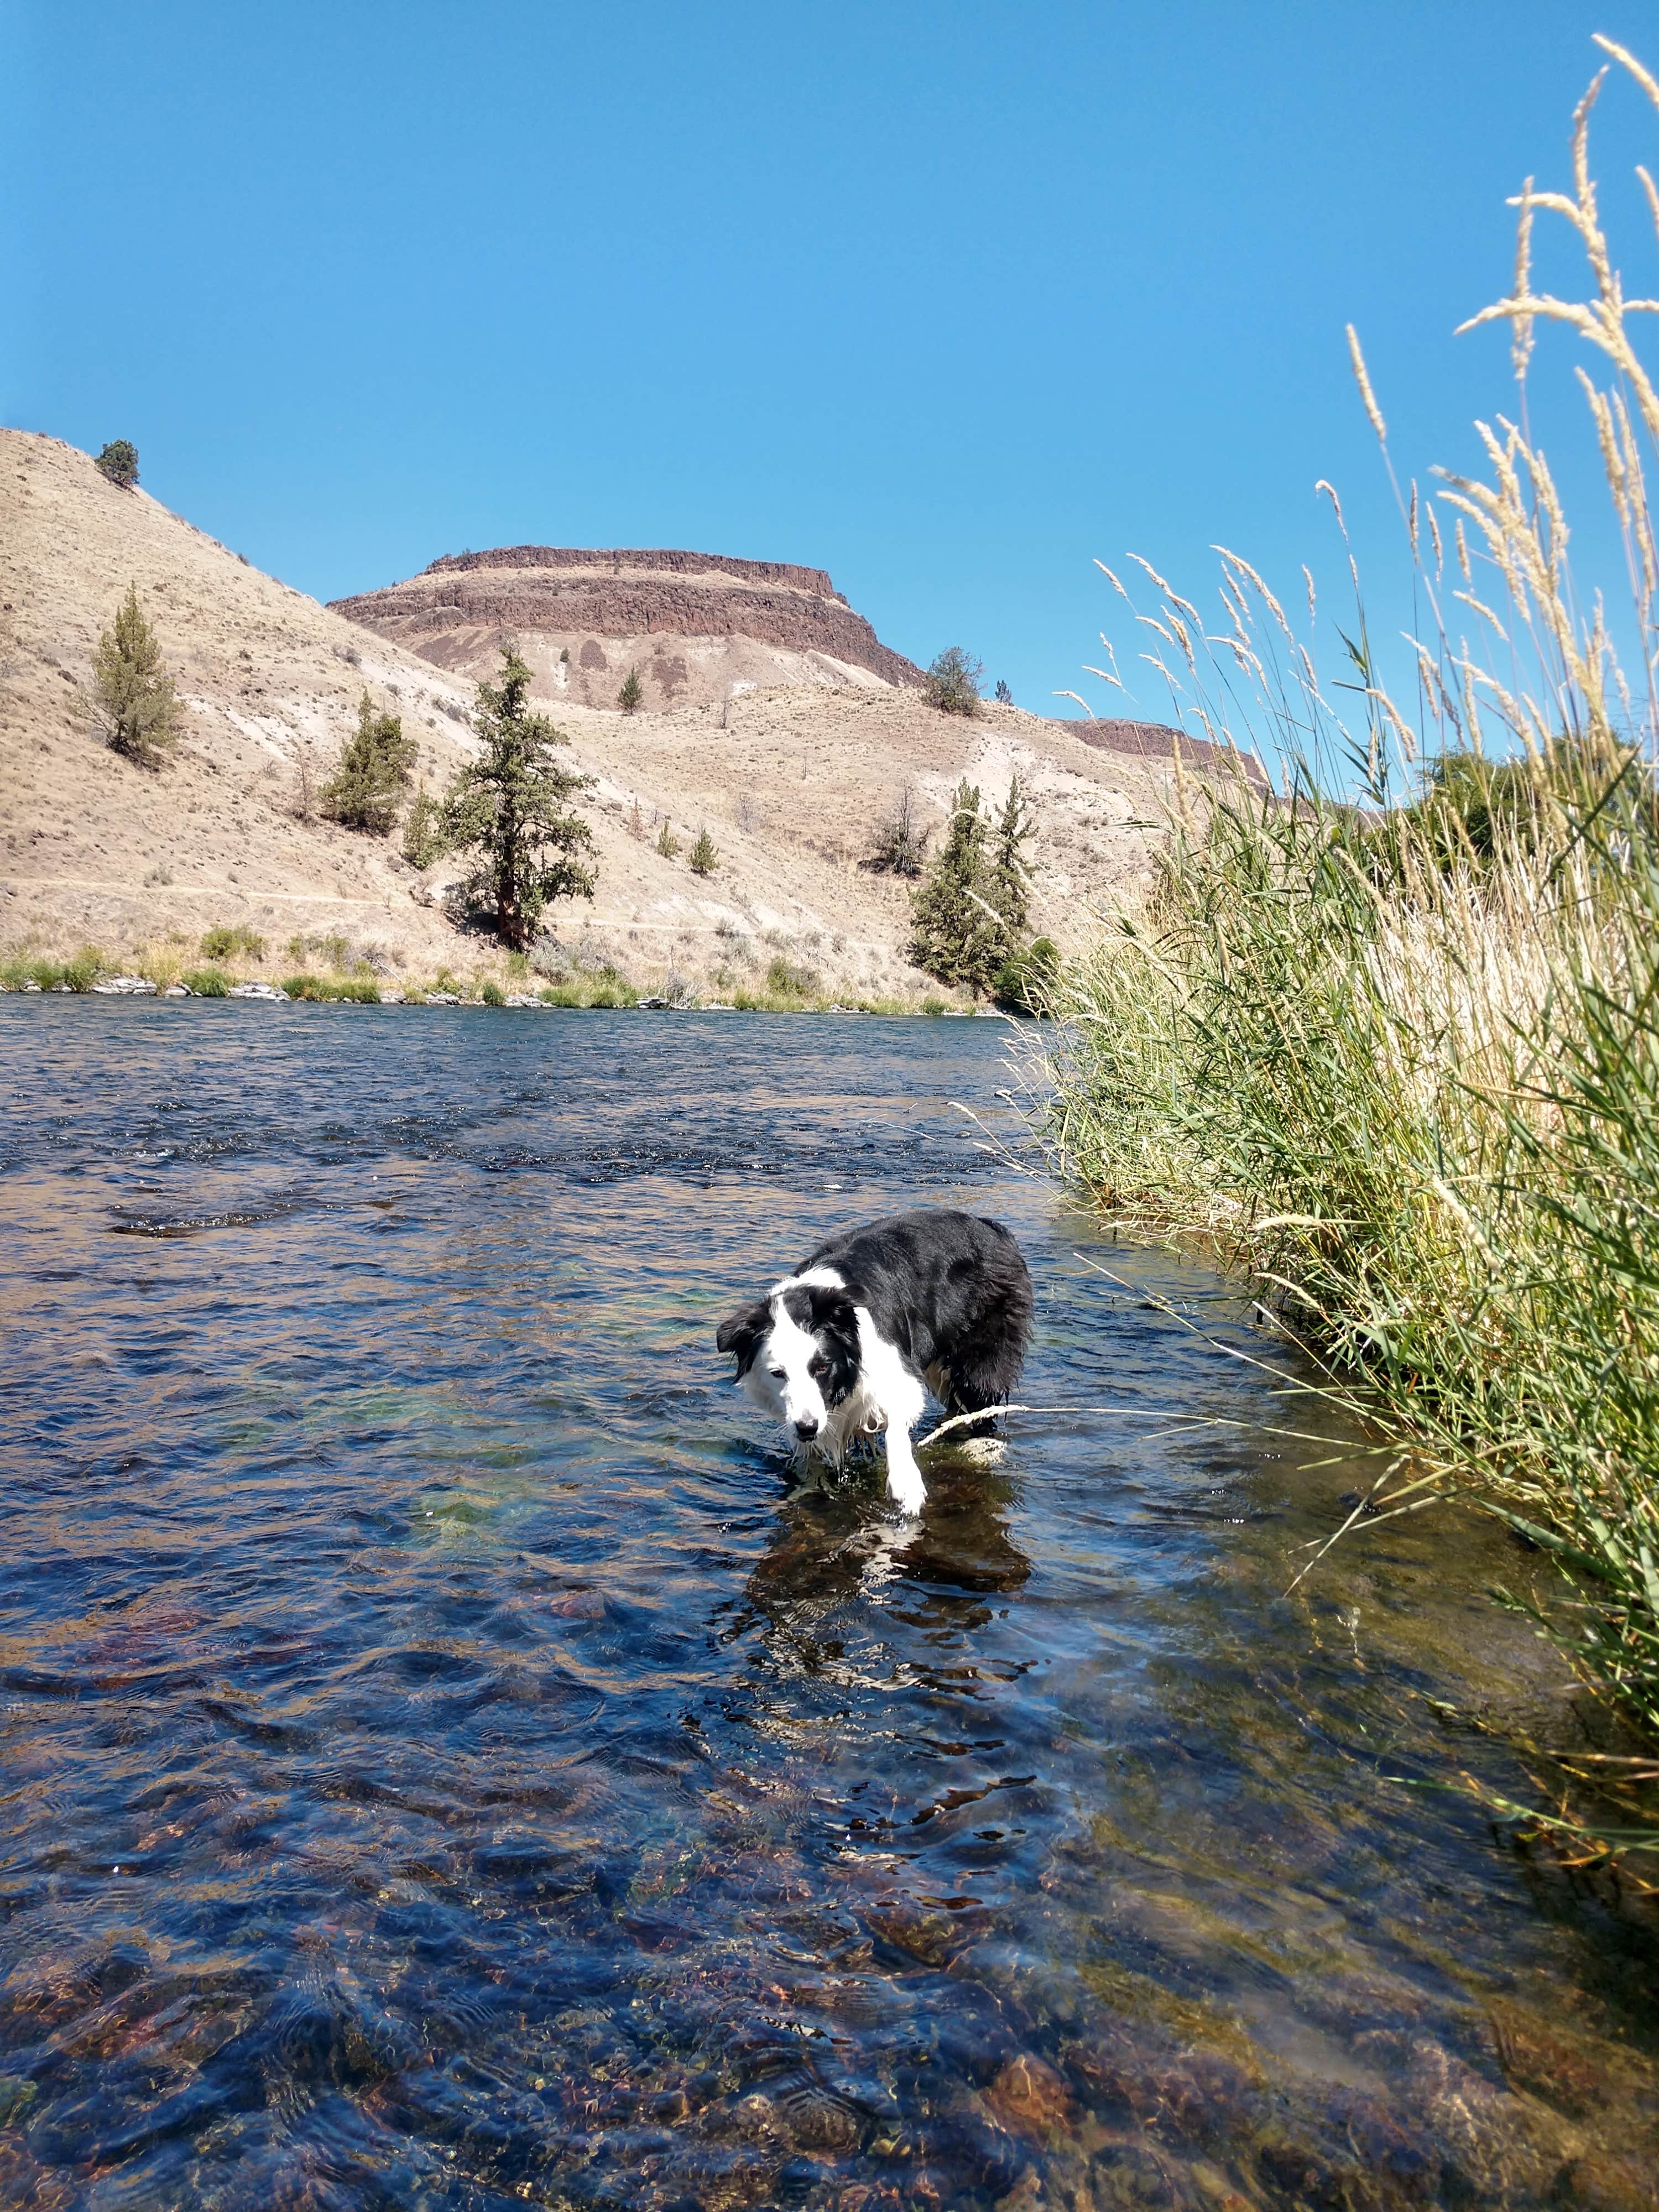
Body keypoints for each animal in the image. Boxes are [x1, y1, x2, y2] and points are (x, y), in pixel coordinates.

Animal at [717, 1212, 1035, 1522]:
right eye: (777, 1374)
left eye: (822, 1367)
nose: (807, 1428)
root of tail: (992, 1227)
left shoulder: (896, 1372)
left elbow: (896, 1425)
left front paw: (905, 1483)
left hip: (981, 1359)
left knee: (981, 1401)